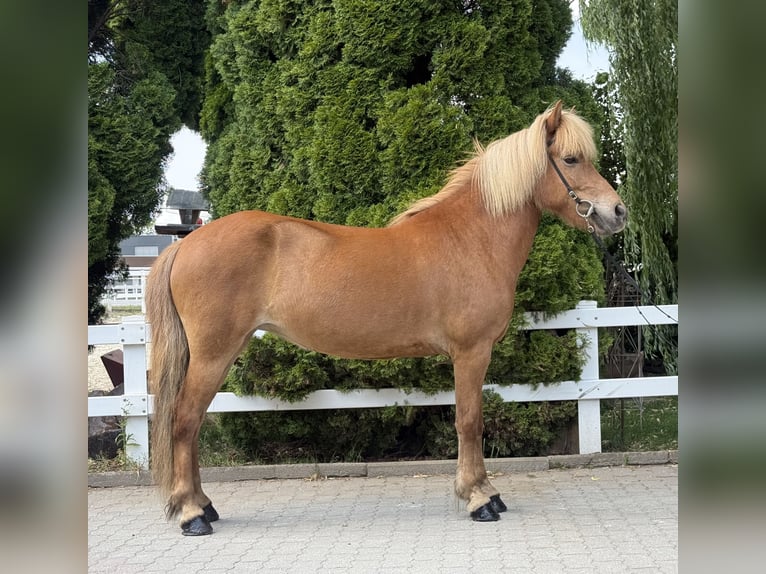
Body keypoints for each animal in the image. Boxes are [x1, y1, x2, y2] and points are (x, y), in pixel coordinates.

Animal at [145, 101, 627, 535]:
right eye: (571, 159)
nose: (618, 212)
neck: (470, 238)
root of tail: (186, 244)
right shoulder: (471, 352)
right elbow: (470, 421)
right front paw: (479, 498)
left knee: (191, 425)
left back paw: (204, 506)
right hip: (213, 353)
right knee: (184, 422)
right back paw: (192, 515)